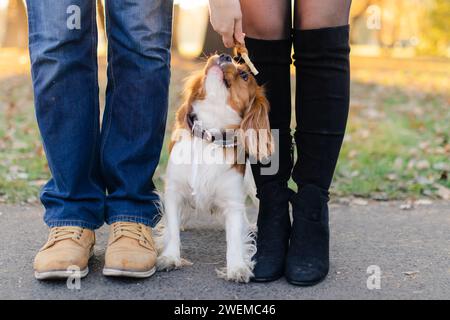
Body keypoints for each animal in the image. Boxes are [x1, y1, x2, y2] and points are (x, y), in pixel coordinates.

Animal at [156, 53, 272, 282]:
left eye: (244, 75)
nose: (224, 55)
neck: (208, 136)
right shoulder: (174, 193)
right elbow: (172, 229)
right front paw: (170, 257)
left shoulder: (233, 201)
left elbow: (235, 237)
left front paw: (237, 267)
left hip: (253, 187)